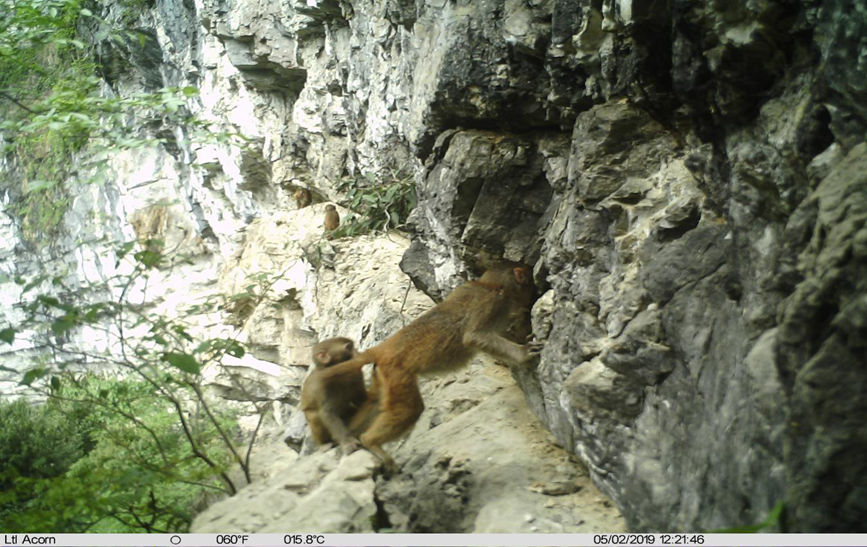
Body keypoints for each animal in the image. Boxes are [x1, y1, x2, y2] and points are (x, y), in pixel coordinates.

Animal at [318, 264, 536, 468]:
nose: (533, 285)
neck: (491, 285)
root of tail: (384, 348)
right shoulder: (490, 303)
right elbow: (475, 337)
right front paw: (523, 353)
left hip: (383, 375)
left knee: (376, 400)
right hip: (397, 373)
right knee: (410, 408)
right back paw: (371, 442)